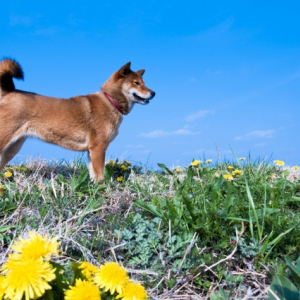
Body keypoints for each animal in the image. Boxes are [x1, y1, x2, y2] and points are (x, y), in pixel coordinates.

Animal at [0, 57, 155, 182]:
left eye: (144, 82)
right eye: (136, 83)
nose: (153, 93)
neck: (111, 101)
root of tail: (10, 92)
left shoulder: (91, 151)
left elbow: (93, 174)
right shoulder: (98, 148)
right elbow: (100, 175)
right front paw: (103, 189)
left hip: (13, 148)